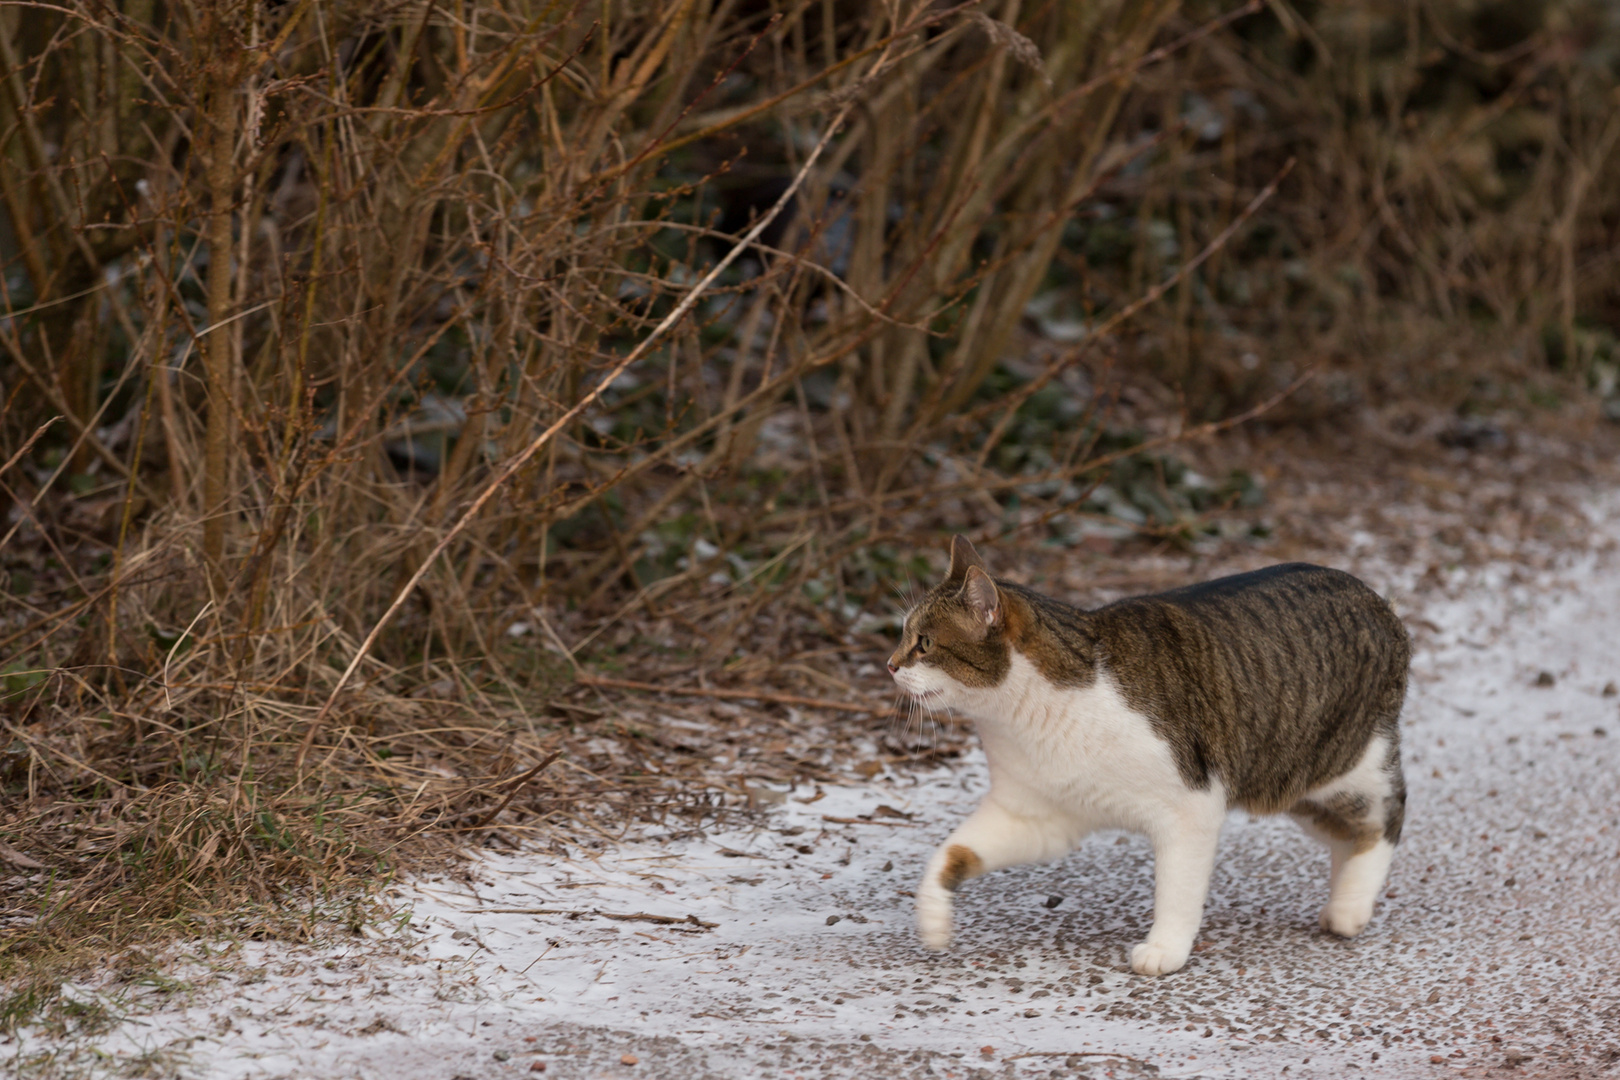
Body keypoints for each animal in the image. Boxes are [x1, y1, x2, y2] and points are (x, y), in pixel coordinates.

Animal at [894, 537, 1412, 977]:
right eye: (902, 635)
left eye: (924, 644)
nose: (890, 664)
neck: (1024, 719)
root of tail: (1380, 603)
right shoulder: (1036, 815)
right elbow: (954, 851)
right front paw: (933, 918)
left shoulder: (1192, 808)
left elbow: (1178, 888)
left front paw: (1165, 949)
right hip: (1291, 782)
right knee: (1346, 835)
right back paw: (1344, 895)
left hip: (1342, 764)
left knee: (1387, 816)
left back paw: (1350, 908)